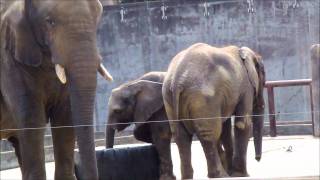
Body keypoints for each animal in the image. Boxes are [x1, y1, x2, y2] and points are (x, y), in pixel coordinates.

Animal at [162, 43, 264, 179]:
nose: (257, 159)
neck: (243, 51)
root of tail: (177, 80)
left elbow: (226, 128)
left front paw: (233, 173)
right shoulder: (246, 87)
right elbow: (242, 124)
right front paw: (241, 175)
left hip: (168, 97)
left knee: (181, 136)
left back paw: (189, 177)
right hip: (203, 97)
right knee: (209, 134)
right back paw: (220, 175)